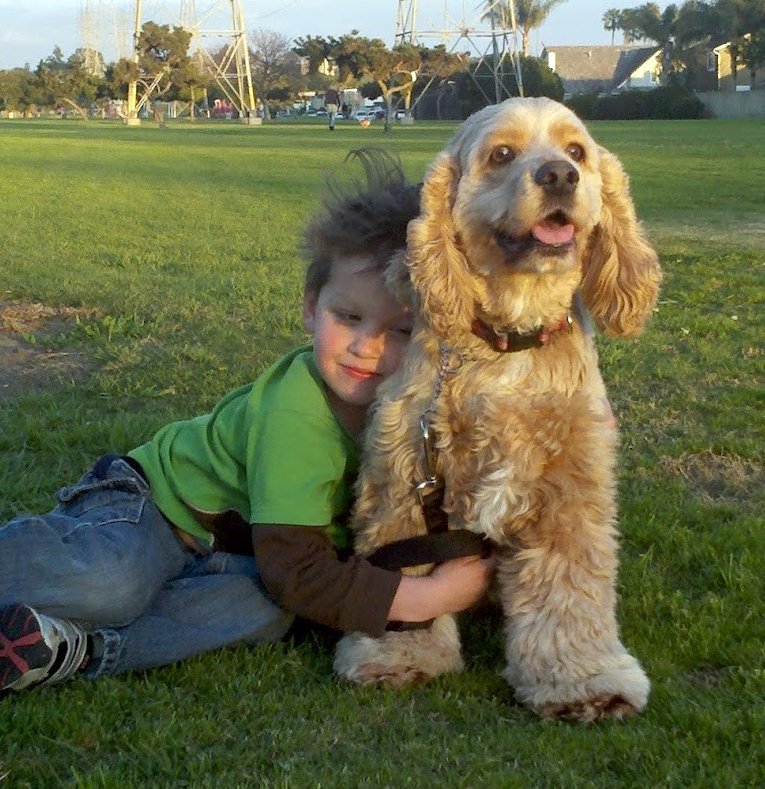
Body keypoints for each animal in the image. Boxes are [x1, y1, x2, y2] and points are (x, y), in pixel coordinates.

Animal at [333, 97, 662, 722]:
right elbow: (406, 578)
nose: (559, 175)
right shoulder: (402, 469)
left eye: (577, 150)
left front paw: (583, 680)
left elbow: (569, 590)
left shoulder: (570, 485)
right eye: (502, 154)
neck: (512, 339)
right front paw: (398, 654)